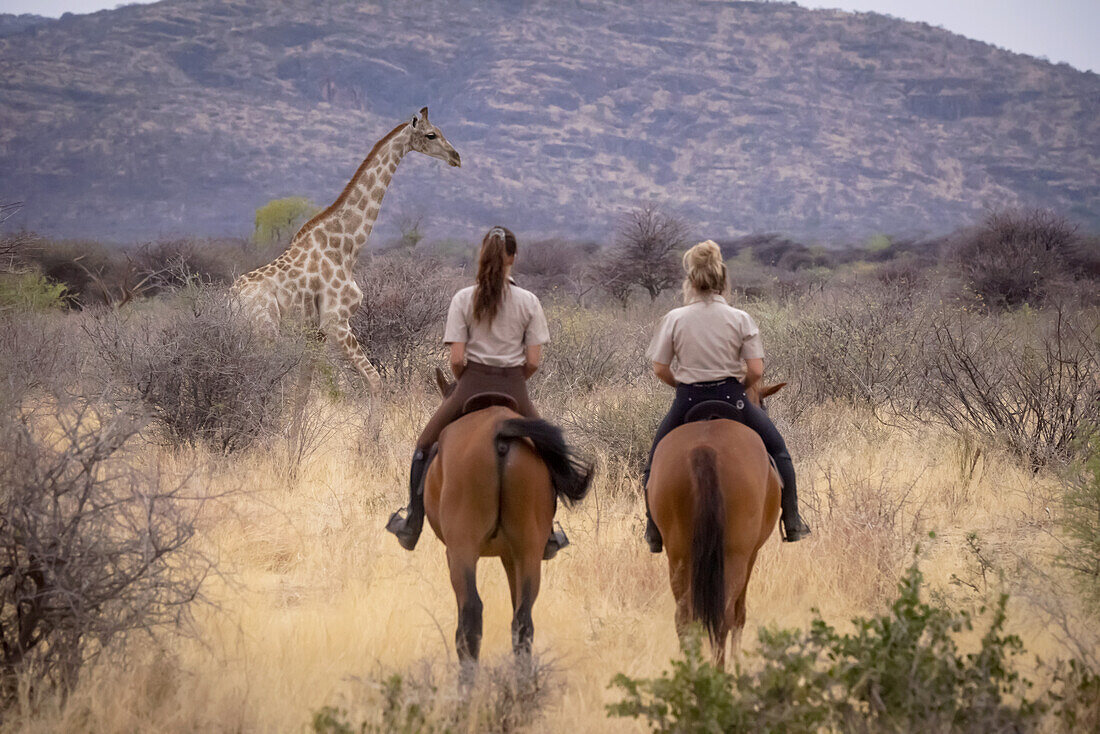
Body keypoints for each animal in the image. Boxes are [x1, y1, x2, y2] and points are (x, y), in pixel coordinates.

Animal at [234, 106, 462, 393]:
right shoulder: (337, 321)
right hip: (266, 332)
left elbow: (303, 389)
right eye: (431, 134)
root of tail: (229, 299)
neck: (346, 247)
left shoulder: (317, 332)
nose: (456, 157)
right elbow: (375, 381)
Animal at [422, 369, 594, 669]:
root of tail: (500, 432)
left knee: (471, 614)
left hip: (463, 547)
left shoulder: (454, 552)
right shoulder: (509, 555)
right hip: (528, 548)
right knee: (523, 619)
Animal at [646, 382, 787, 669]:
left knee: (684, 618)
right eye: (762, 403)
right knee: (724, 616)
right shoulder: (751, 554)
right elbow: (740, 614)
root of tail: (705, 449)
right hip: (734, 555)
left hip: (679, 554)